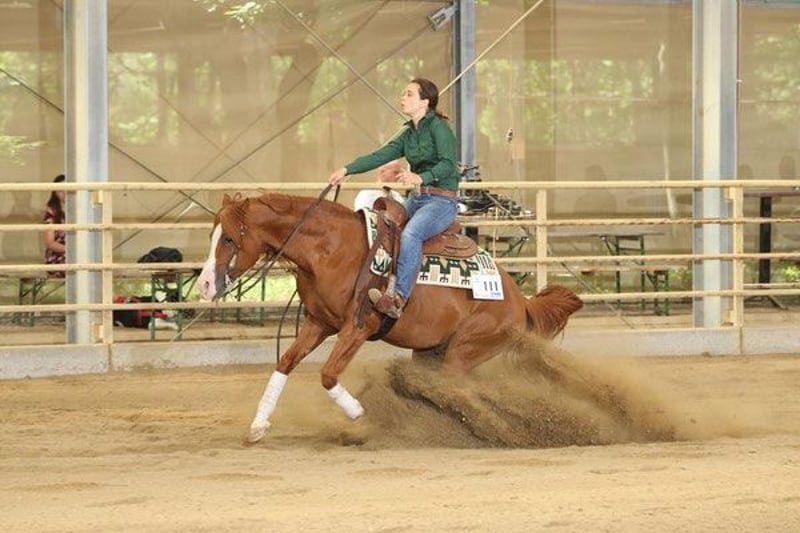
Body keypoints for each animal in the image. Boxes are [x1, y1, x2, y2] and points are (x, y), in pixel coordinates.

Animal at [198, 192, 583, 442]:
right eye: (213, 234)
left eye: (228, 239)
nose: (203, 285)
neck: (331, 249)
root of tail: (520, 300)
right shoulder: (319, 322)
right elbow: (285, 363)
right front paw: (259, 425)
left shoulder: (357, 327)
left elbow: (327, 375)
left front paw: (360, 417)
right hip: (431, 352)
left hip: (466, 349)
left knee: (458, 390)